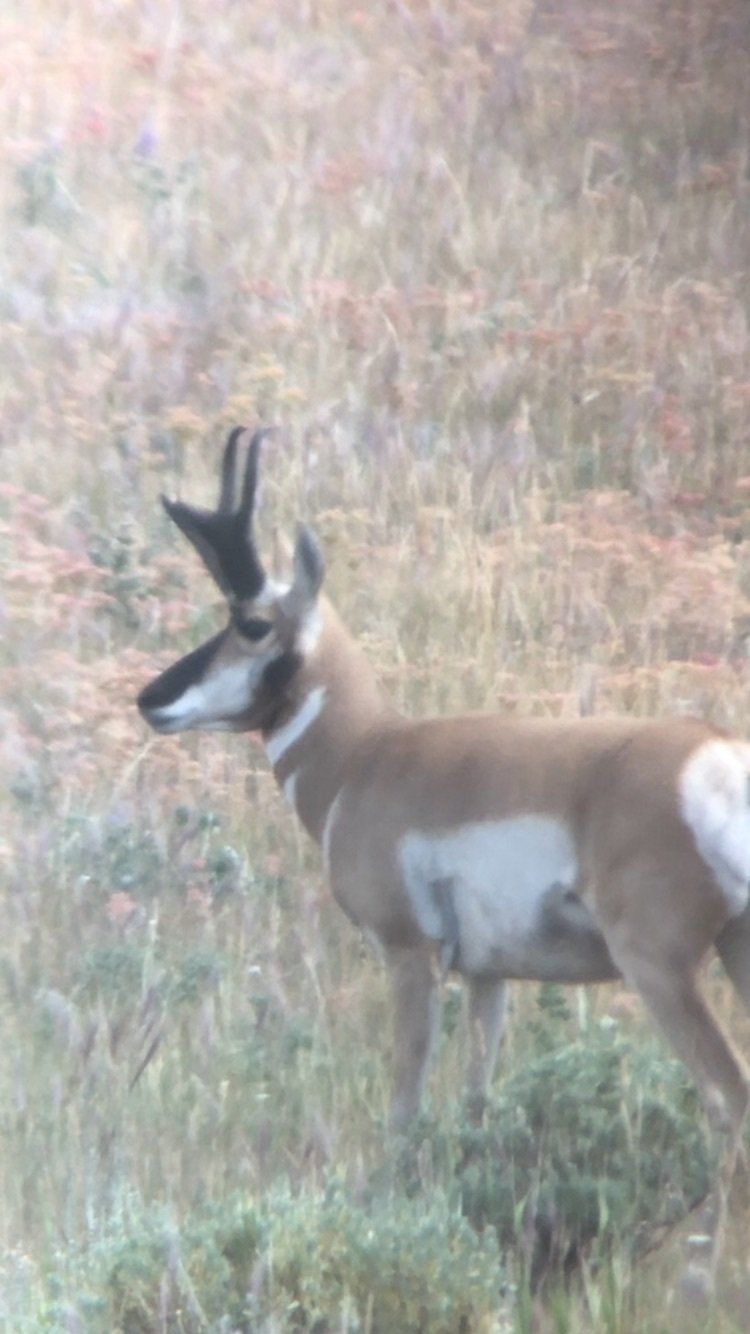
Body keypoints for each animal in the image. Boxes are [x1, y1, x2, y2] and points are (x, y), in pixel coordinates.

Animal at [138, 427, 750, 1277]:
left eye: (252, 623)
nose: (150, 698)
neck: (367, 753)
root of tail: (713, 754)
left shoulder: (409, 955)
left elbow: (405, 1104)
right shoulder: (489, 978)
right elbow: (475, 1101)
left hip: (659, 969)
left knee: (728, 1101)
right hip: (736, 952)